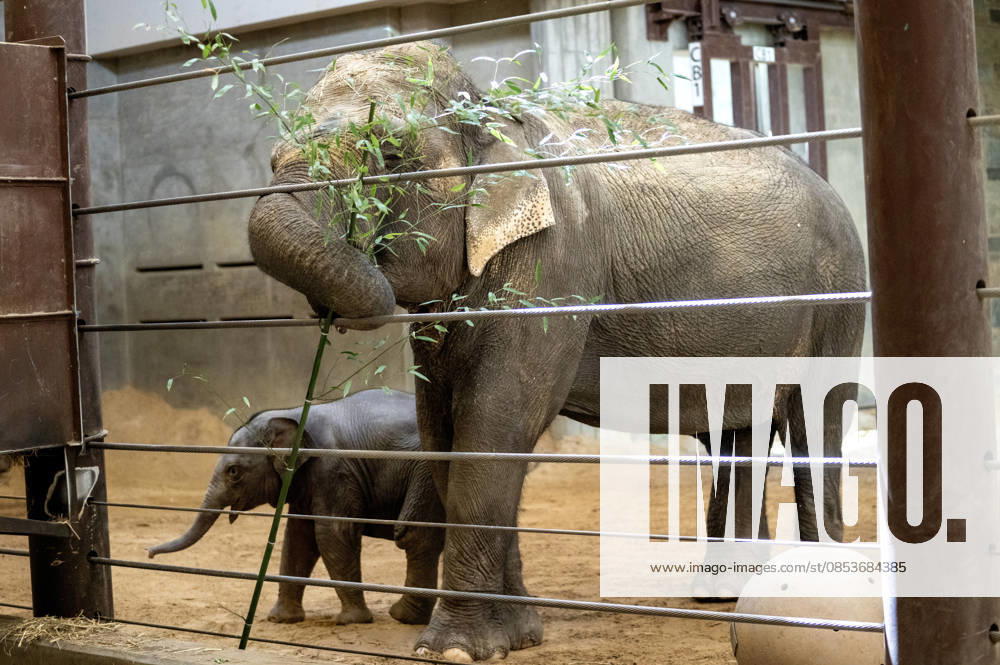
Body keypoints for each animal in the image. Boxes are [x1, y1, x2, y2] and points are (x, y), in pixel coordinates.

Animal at [148, 389, 445, 626]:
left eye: (233, 472)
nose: (149, 553)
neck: (293, 413)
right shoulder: (306, 478)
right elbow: (298, 537)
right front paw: (281, 619)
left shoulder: (333, 470)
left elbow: (332, 533)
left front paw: (351, 621)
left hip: (428, 472)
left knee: (416, 536)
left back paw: (402, 616)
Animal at [245, 42, 866, 661]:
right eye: (272, 158)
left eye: (392, 154)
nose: (336, 315)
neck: (493, 116)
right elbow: (444, 432)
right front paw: (517, 638)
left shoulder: (555, 262)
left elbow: (494, 425)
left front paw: (454, 648)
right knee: (737, 435)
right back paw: (722, 598)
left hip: (838, 296)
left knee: (815, 425)